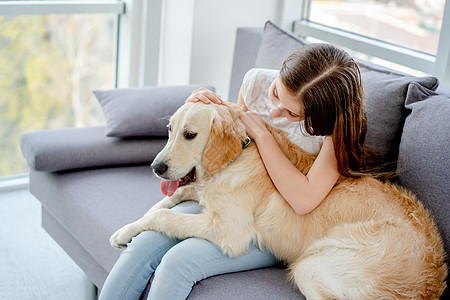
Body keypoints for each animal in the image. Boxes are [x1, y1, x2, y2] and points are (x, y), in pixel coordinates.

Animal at [111, 102, 446, 298]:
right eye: (169, 130)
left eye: (190, 134)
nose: (156, 167)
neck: (240, 151)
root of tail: (431, 283)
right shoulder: (199, 190)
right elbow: (164, 203)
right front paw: (124, 231)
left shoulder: (230, 231)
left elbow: (163, 215)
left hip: (311, 266)